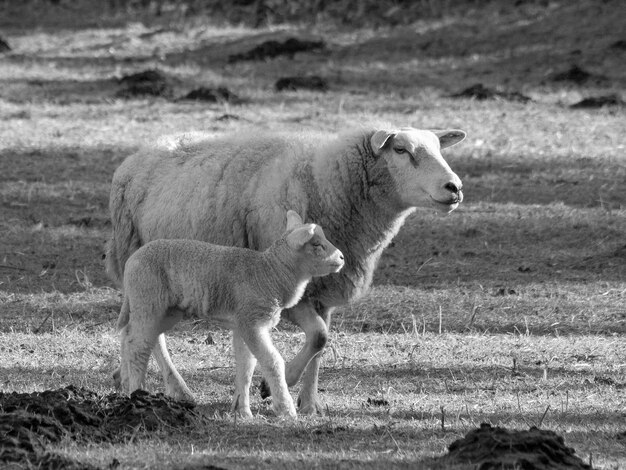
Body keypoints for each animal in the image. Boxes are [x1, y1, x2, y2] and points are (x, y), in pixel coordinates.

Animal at [114, 211, 344, 416]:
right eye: (317, 245)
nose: (342, 257)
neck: (270, 274)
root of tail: (131, 261)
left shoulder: (243, 323)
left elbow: (246, 366)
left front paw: (242, 411)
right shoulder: (252, 321)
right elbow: (272, 361)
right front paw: (285, 409)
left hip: (165, 309)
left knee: (138, 336)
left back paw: (130, 383)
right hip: (148, 299)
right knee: (138, 345)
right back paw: (137, 392)